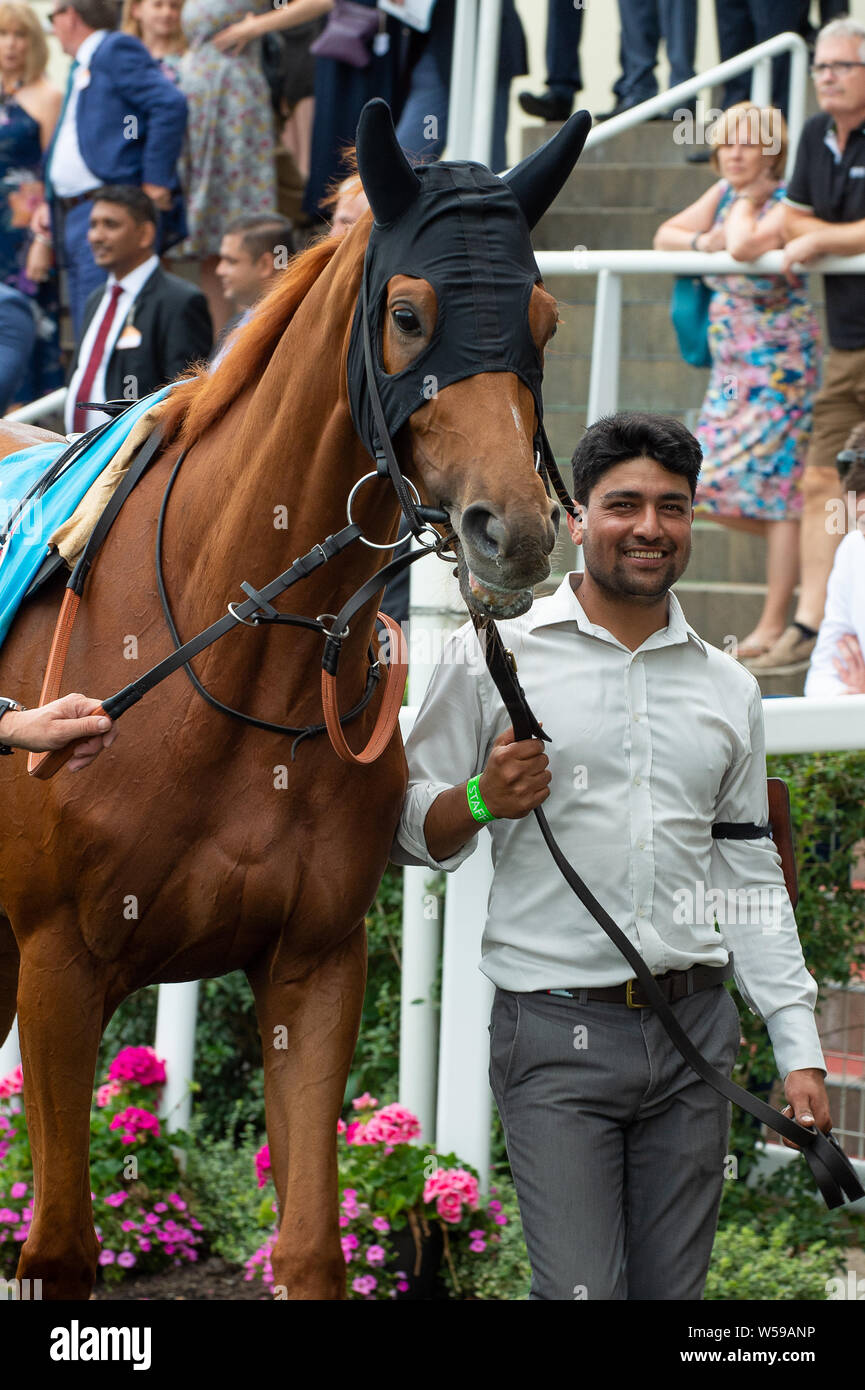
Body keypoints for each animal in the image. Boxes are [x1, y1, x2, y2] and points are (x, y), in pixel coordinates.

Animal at [0, 102, 592, 1295]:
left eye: (544, 319)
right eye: (408, 315)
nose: (513, 531)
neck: (228, 665)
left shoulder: (314, 963)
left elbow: (315, 1242)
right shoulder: (60, 966)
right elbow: (62, 1245)